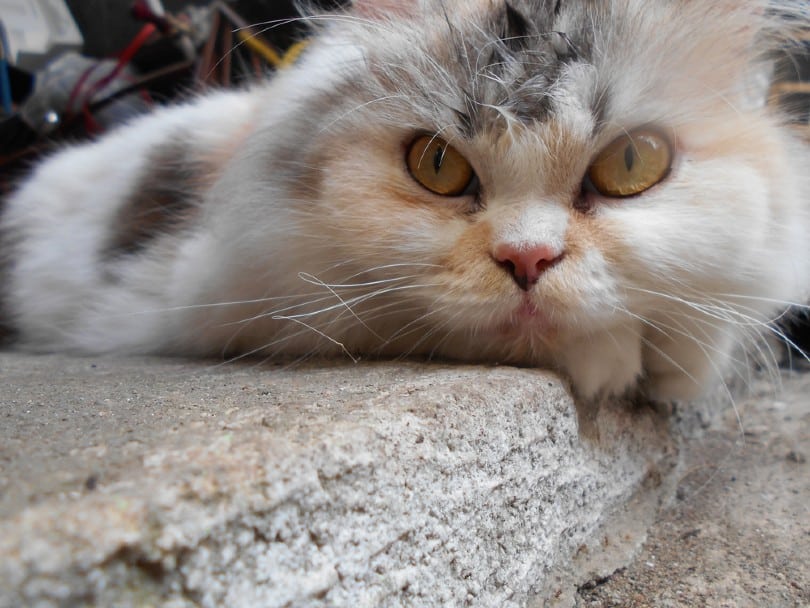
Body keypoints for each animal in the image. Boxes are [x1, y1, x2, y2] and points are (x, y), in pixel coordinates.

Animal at [1, 1, 808, 404]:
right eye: (438, 165)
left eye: (631, 163)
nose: (526, 260)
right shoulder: (246, 299)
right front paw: (612, 365)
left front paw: (674, 374)